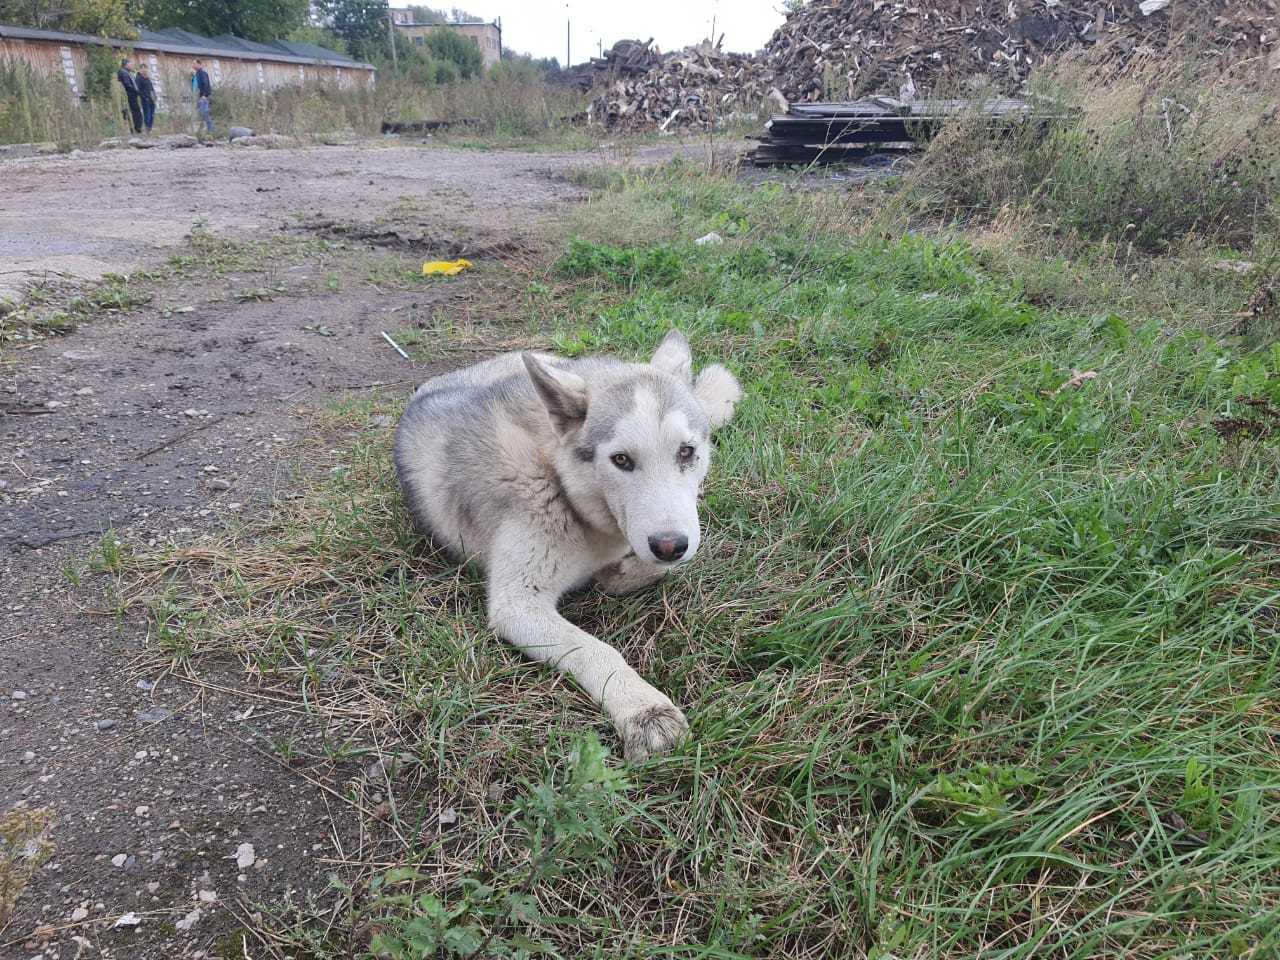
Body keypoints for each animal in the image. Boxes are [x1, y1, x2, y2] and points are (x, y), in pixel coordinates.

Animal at [394, 330, 747, 757]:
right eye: (621, 460)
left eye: (686, 452)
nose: (669, 545)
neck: (557, 479)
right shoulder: (518, 605)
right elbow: (596, 649)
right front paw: (643, 709)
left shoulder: (672, 536)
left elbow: (661, 563)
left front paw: (620, 574)